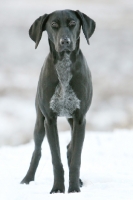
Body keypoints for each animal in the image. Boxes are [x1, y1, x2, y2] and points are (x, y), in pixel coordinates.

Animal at [20, 9, 95, 194]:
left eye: (73, 23)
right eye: (53, 24)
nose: (65, 41)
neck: (64, 66)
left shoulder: (80, 119)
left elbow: (76, 158)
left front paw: (74, 189)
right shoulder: (50, 120)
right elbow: (56, 159)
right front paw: (58, 189)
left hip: (72, 120)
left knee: (70, 148)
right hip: (40, 124)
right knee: (37, 151)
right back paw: (27, 179)